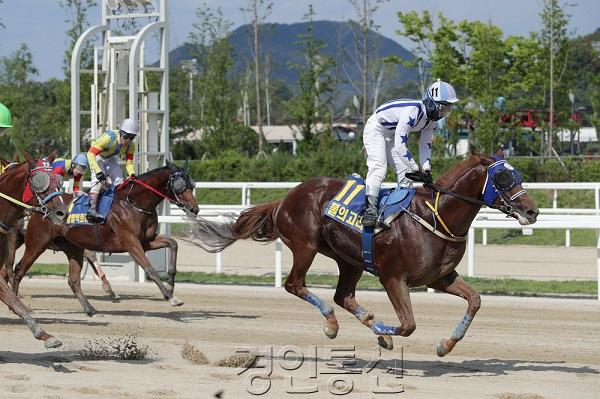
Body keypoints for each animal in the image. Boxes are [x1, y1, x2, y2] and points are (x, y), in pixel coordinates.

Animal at [11, 162, 199, 316]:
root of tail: (41, 206)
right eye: (180, 185)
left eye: (192, 184)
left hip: (73, 248)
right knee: (18, 270)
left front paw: (171, 283)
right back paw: (16, 304)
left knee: (73, 280)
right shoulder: (131, 242)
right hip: (37, 244)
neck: (133, 203)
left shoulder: (146, 241)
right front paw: (170, 297)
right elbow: (150, 268)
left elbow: (173, 243)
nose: (194, 209)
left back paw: (90, 309)